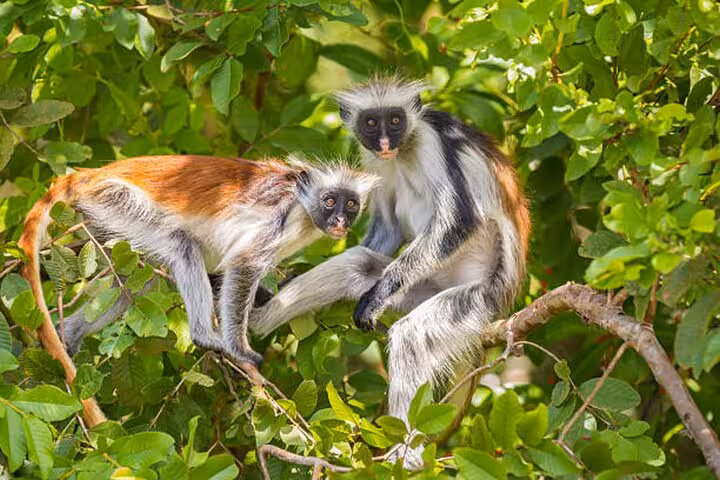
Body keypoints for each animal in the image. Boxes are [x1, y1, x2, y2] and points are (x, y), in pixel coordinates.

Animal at [18, 155, 378, 426]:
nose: (340, 221)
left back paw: (70, 331)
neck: (303, 205)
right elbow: (243, 264)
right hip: (114, 198)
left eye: (350, 204)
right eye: (329, 201)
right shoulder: (280, 216)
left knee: (139, 284)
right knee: (182, 245)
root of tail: (89, 174)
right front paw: (239, 349)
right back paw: (205, 336)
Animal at [250, 78, 531, 467]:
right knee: (358, 264)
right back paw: (255, 318)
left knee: (412, 335)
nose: (384, 142)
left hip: (477, 298)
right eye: (371, 123)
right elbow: (387, 228)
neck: (404, 150)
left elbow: (460, 220)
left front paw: (377, 297)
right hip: (422, 287)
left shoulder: (433, 140)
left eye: (396, 121)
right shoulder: (374, 162)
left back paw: (406, 457)